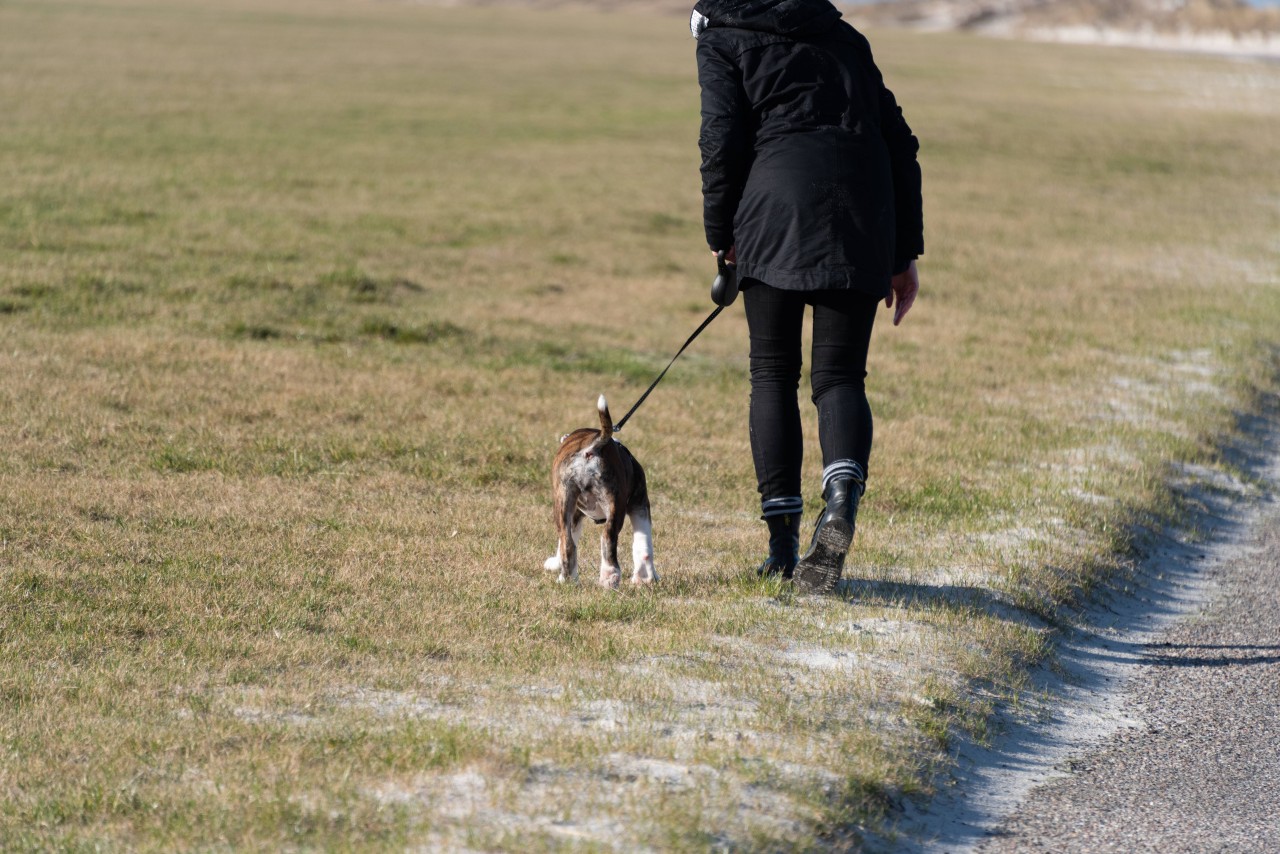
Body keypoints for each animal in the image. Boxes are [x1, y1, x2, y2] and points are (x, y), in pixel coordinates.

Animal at [542, 396, 655, 588]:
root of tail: (591, 449)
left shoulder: (575, 513)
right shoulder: (639, 503)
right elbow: (643, 542)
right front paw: (646, 577)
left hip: (564, 501)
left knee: (568, 542)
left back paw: (569, 579)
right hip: (613, 504)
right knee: (607, 537)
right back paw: (608, 576)